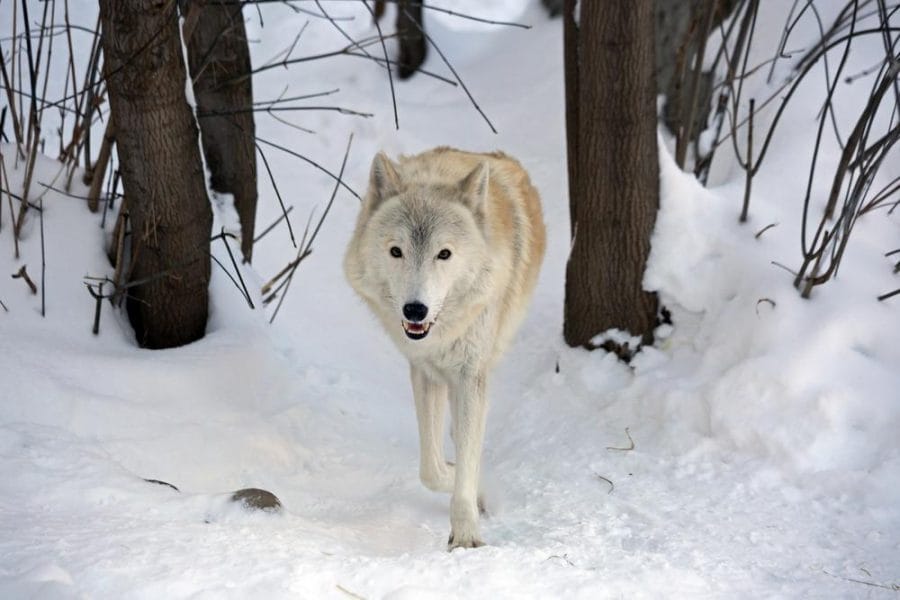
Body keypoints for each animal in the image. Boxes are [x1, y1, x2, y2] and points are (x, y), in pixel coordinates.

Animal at [344, 145, 544, 548]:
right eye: (396, 251)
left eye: (444, 254)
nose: (415, 309)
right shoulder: (425, 372)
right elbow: (431, 470)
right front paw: (474, 488)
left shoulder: (469, 376)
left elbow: (464, 461)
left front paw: (466, 536)